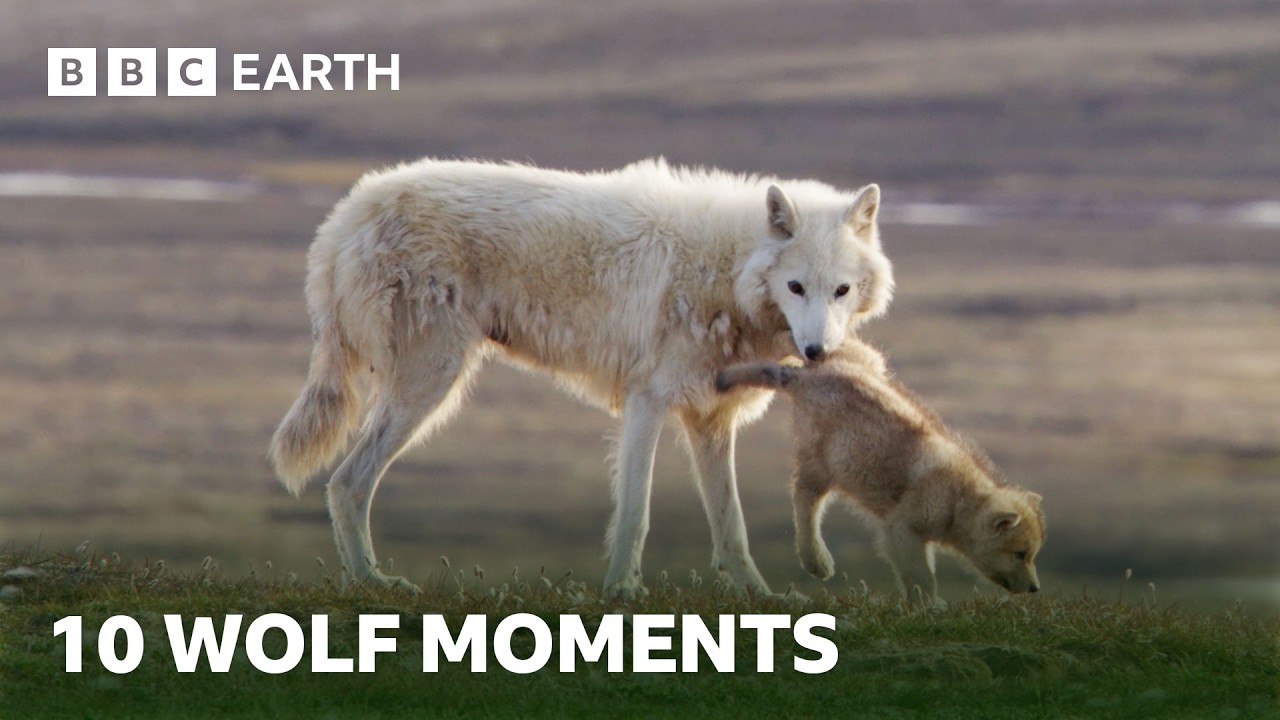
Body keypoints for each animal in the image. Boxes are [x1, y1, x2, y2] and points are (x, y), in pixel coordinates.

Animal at [269, 157, 893, 598]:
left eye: (841, 289)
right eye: (795, 287)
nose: (816, 352)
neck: (726, 269)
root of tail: (346, 215)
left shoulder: (710, 422)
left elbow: (731, 526)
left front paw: (759, 597)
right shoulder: (647, 403)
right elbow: (635, 513)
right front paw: (622, 592)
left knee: (346, 483)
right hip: (430, 386)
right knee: (347, 483)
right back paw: (371, 584)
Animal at [715, 340, 1045, 604]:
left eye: (1033, 554)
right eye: (1020, 552)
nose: (1034, 588)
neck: (956, 502)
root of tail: (809, 380)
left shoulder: (896, 529)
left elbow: (907, 569)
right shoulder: (905, 524)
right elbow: (921, 574)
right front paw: (929, 605)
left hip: (864, 363)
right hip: (827, 460)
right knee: (804, 496)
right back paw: (817, 559)